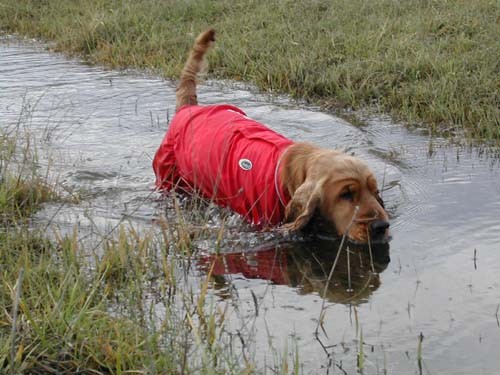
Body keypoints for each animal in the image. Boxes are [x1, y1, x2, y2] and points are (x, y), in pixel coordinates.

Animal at [153, 30, 390, 247]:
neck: (293, 175)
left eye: (375, 191)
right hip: (169, 178)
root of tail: (188, 108)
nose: (381, 226)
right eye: (346, 194)